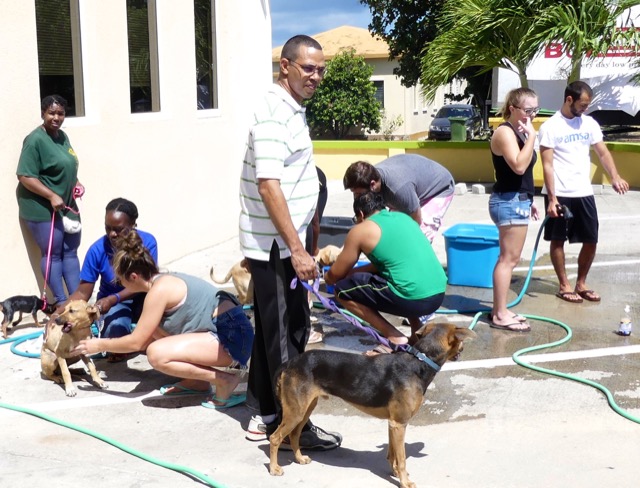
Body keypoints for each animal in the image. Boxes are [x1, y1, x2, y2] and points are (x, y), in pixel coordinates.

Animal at [268, 322, 476, 486]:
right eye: (460, 342)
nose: (463, 350)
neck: (419, 362)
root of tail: (289, 363)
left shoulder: (393, 424)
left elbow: (392, 453)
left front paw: (395, 473)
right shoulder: (399, 423)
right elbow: (401, 458)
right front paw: (405, 481)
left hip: (305, 409)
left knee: (294, 434)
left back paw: (299, 458)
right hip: (295, 411)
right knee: (275, 438)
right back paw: (274, 469)